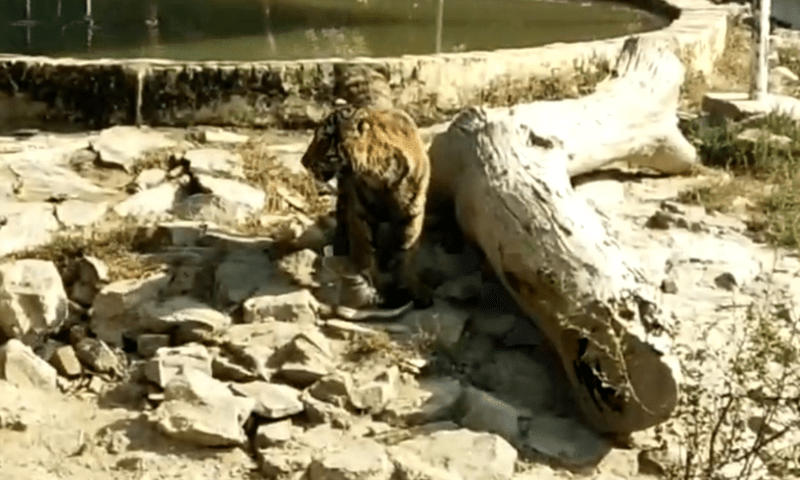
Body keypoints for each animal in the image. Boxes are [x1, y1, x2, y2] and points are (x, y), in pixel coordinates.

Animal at [301, 100, 433, 311]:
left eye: (323, 140)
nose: (303, 162)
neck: (380, 174)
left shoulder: (412, 210)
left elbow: (407, 250)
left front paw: (414, 288)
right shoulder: (360, 212)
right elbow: (364, 250)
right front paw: (378, 289)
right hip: (345, 196)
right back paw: (341, 247)